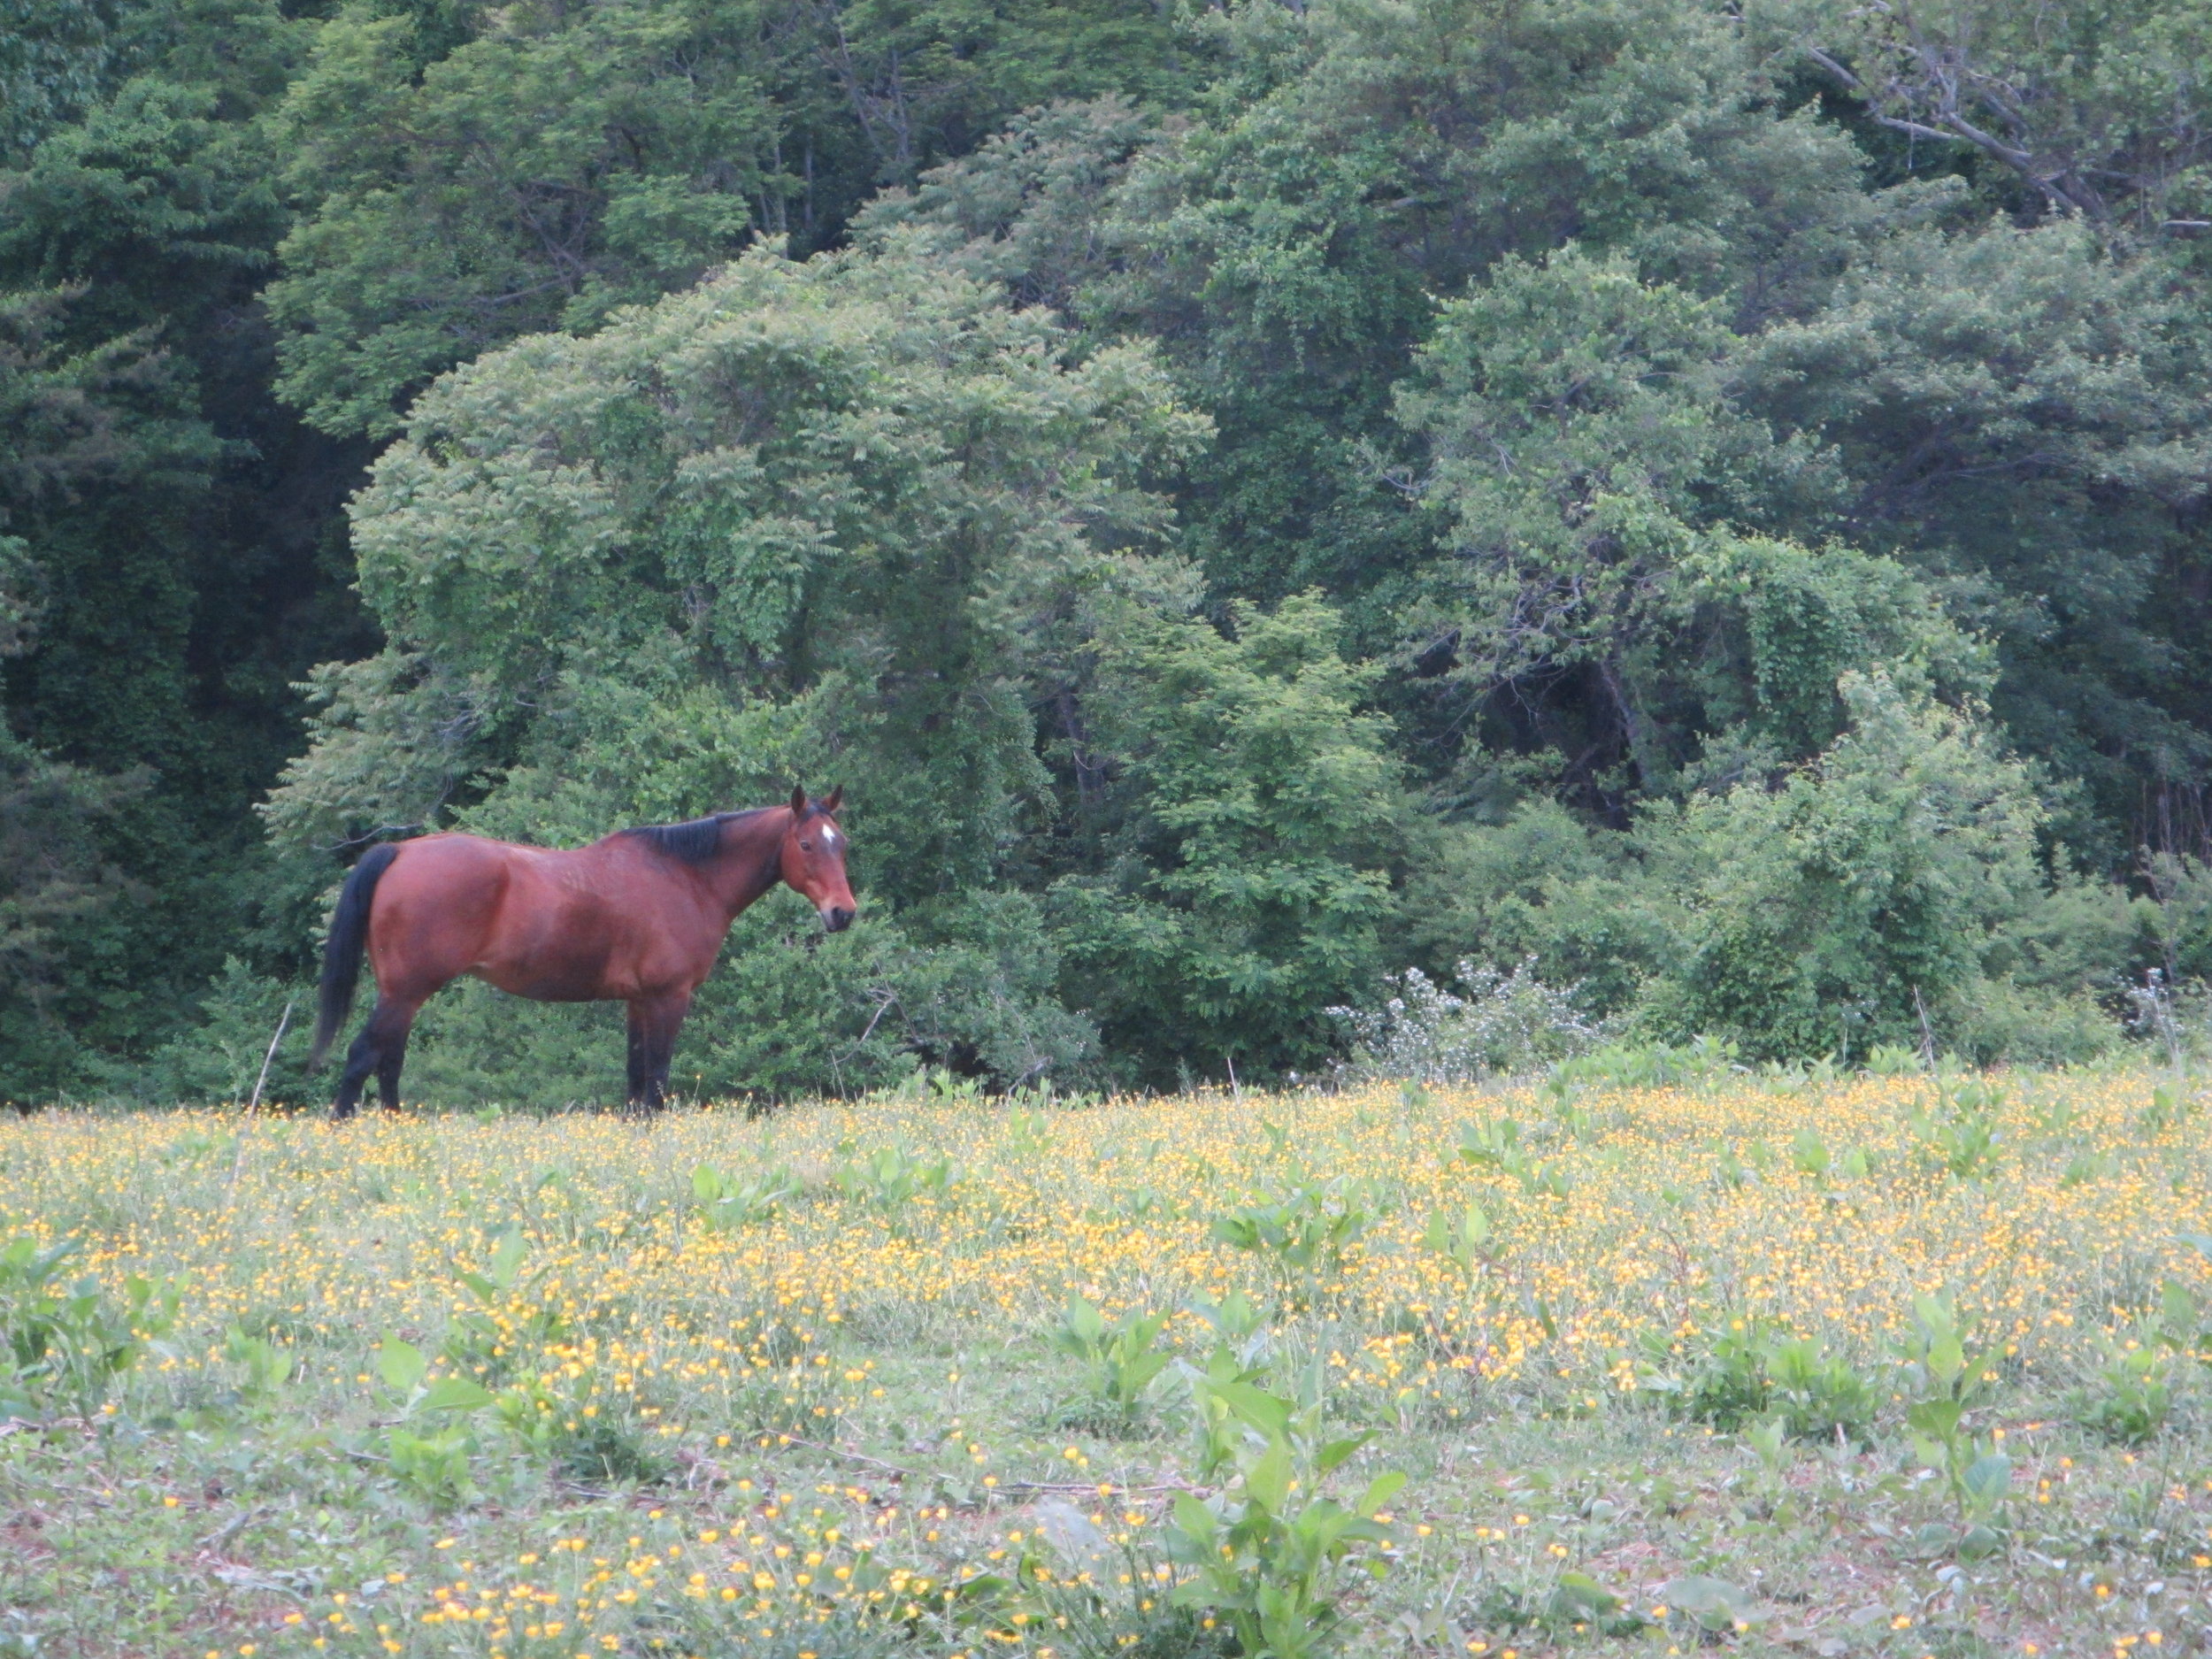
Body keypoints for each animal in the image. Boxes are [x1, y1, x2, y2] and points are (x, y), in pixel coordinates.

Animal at [310, 787, 854, 1124]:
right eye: (806, 844)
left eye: (841, 843)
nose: (843, 913)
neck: (686, 877)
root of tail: (401, 851)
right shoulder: (668, 998)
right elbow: (656, 1080)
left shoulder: (638, 1001)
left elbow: (636, 1082)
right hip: (404, 991)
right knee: (363, 1057)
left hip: (403, 994)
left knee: (388, 1062)